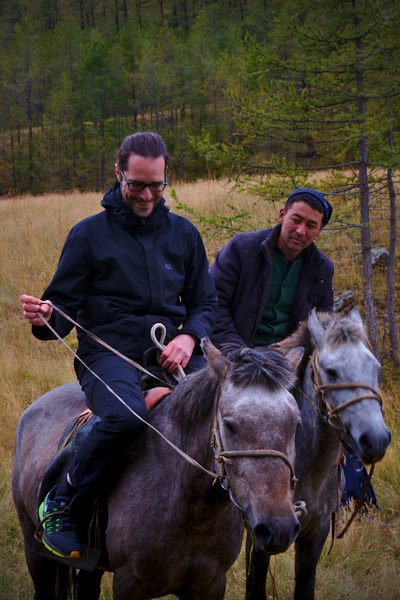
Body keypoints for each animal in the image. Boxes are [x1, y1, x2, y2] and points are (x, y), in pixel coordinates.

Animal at [12, 339, 305, 600]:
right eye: (230, 425)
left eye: (296, 423)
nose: (278, 528)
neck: (192, 510)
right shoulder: (129, 583)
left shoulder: (210, 586)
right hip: (34, 549)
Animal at [245, 308, 392, 600]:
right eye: (331, 370)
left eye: (375, 367)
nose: (376, 439)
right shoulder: (261, 538)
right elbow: (255, 588)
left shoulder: (317, 532)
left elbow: (304, 588)